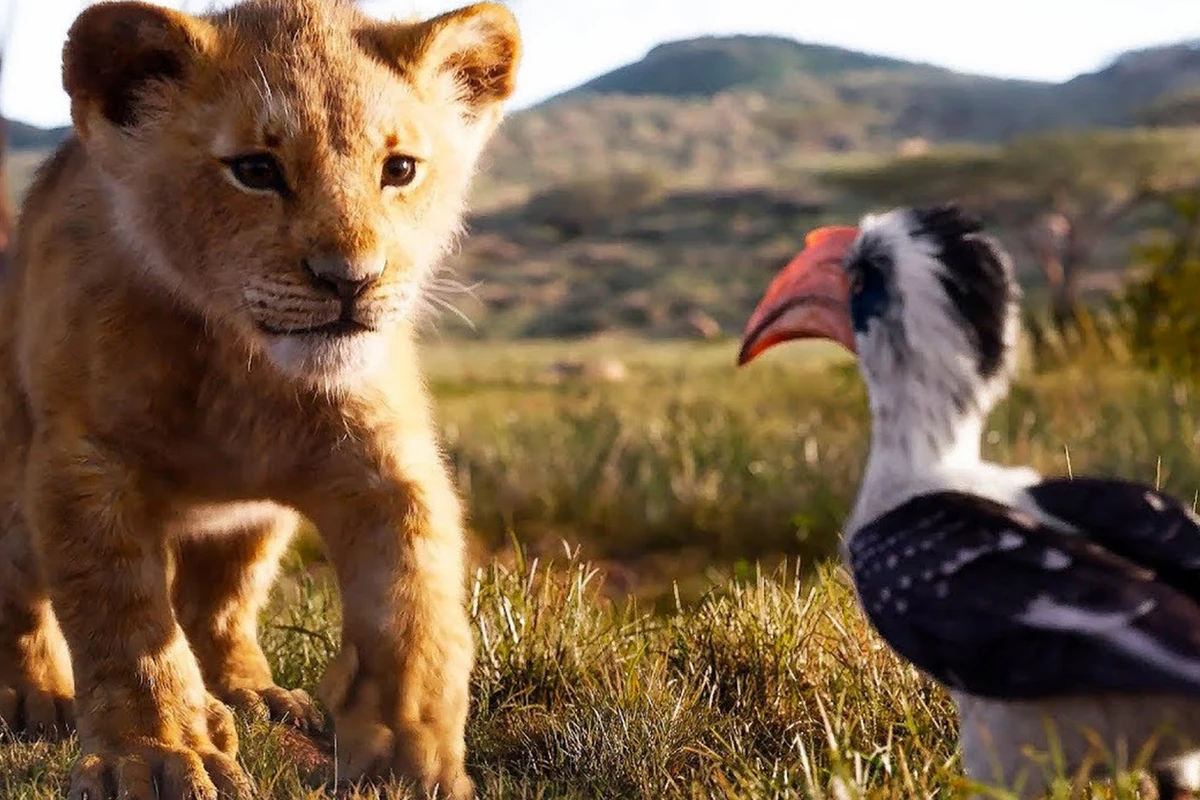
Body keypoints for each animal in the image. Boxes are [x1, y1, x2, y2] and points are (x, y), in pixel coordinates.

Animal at [0, 0, 520, 798]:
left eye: (399, 169)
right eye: (255, 170)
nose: (350, 280)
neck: (243, 370)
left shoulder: (385, 460)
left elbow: (414, 604)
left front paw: (408, 754)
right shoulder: (83, 461)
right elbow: (123, 622)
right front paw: (154, 755)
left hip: (254, 522)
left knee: (219, 604)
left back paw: (249, 695)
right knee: (22, 598)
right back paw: (36, 696)